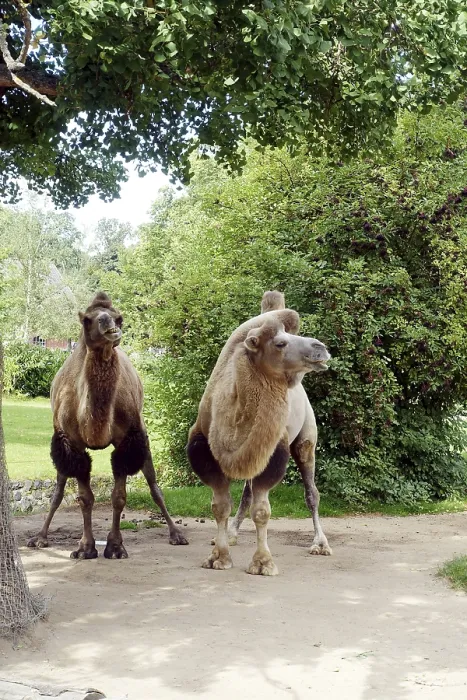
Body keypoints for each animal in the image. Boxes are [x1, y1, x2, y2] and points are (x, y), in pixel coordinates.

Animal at [28, 292, 188, 559]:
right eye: (87, 319)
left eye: (119, 317)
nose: (108, 324)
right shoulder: (72, 443)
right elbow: (84, 498)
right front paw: (85, 548)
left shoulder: (128, 441)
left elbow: (119, 497)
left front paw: (114, 547)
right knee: (58, 491)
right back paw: (40, 537)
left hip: (143, 440)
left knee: (154, 486)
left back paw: (177, 534)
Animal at [187, 293, 331, 576]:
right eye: (280, 343)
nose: (320, 348)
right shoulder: (205, 452)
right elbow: (220, 506)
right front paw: (218, 557)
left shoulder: (274, 448)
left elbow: (262, 510)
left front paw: (263, 563)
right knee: (247, 491)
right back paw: (233, 532)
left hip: (306, 439)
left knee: (311, 492)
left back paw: (320, 543)